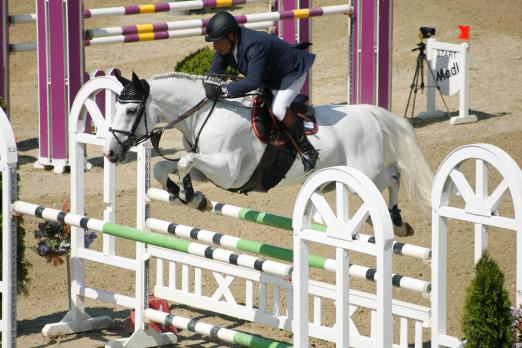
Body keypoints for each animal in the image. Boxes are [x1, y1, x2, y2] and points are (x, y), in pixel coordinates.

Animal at [101, 72, 430, 237]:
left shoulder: (229, 171)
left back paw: (398, 221)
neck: (203, 115)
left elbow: (183, 160)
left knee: (393, 175)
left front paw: (191, 196)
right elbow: (163, 167)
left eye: (130, 110)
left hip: (365, 173)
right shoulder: (210, 172)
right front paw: (187, 195)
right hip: (340, 179)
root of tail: (370, 113)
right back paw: (396, 223)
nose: (111, 153)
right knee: (388, 179)